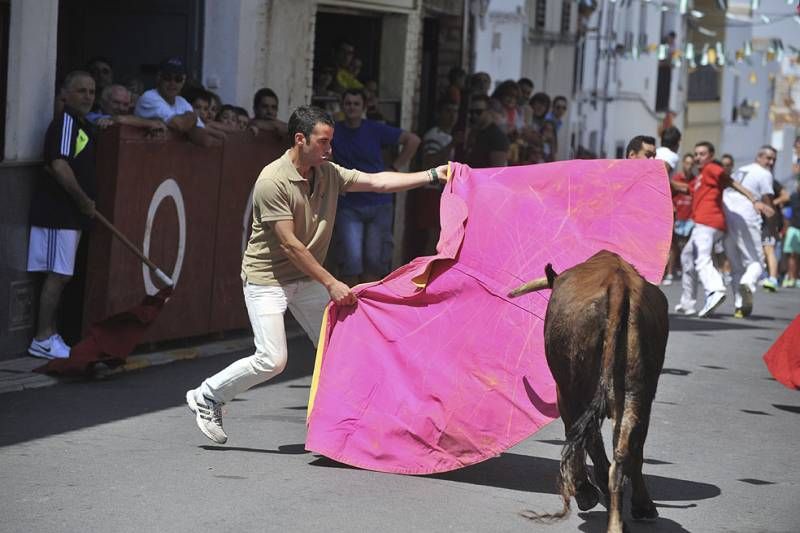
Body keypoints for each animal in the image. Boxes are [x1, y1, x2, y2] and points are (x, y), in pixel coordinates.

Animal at [512, 250, 668, 532]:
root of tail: (617, 285)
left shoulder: (563, 392)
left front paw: (585, 492)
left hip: (574, 388)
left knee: (592, 440)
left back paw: (591, 495)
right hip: (638, 391)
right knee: (626, 450)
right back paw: (630, 514)